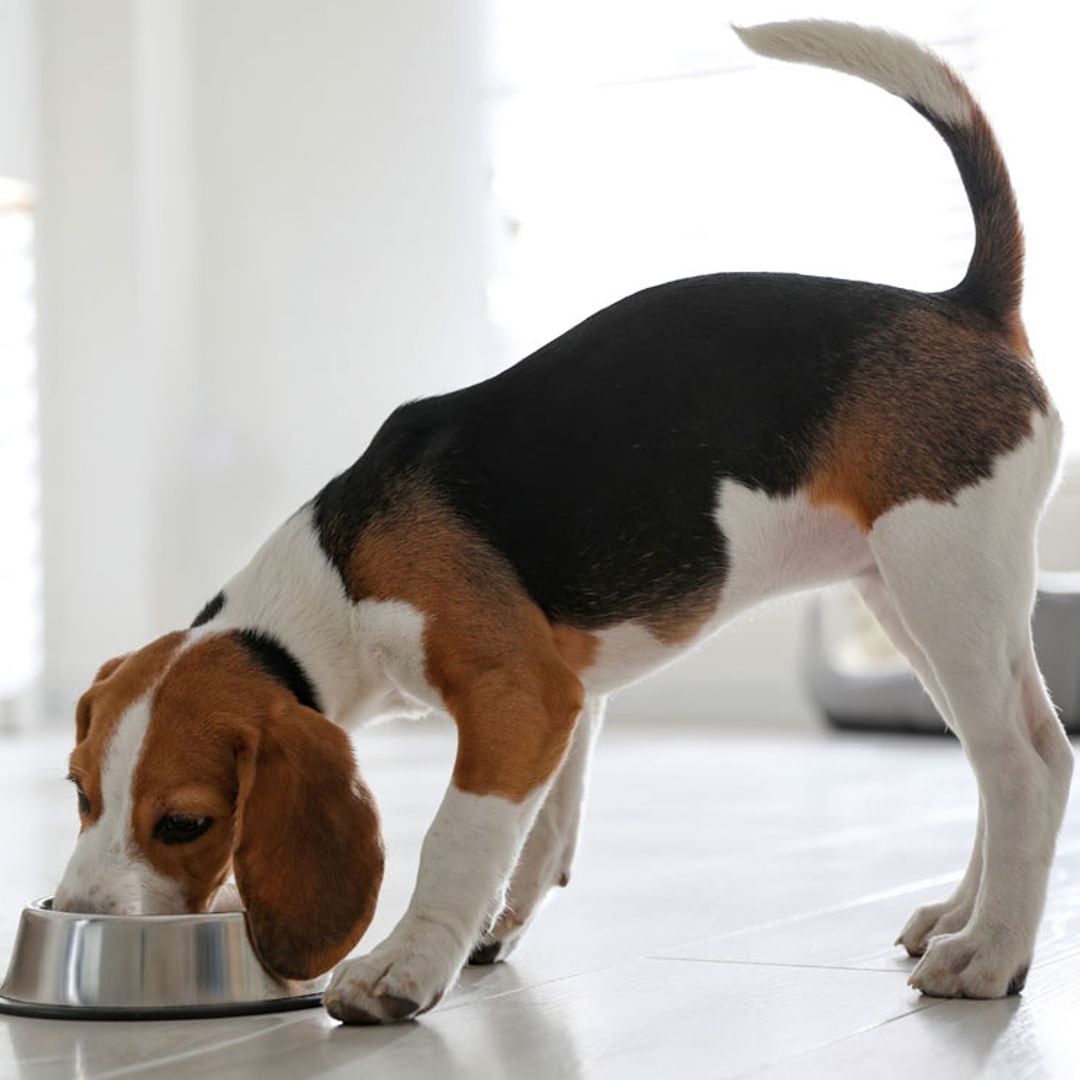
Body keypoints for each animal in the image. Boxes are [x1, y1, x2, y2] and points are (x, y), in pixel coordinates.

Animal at [54, 21, 1067, 1023]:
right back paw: (958, 916)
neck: (335, 576)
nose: (74, 911)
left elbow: (457, 835)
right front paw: (491, 925)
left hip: (944, 579)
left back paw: (988, 953)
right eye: (78, 791)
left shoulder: (517, 697)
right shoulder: (565, 694)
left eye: (185, 823)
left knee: (1027, 765)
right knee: (1000, 761)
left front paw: (400, 967)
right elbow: (541, 829)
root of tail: (964, 305)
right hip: (909, 600)